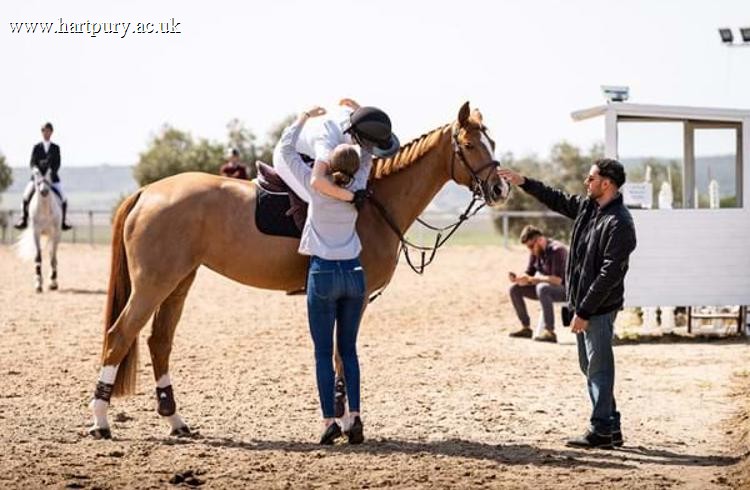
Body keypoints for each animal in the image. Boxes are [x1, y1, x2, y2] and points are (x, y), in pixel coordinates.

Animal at [88, 101, 510, 439]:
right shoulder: (354, 297)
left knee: (159, 342)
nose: (500, 189)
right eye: (470, 146)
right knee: (119, 336)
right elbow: (340, 356)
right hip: (153, 284)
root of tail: (147, 193)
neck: (369, 202)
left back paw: (175, 422)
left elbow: (340, 356)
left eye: (492, 143)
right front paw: (344, 423)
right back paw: (101, 422)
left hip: (178, 282)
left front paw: (342, 421)